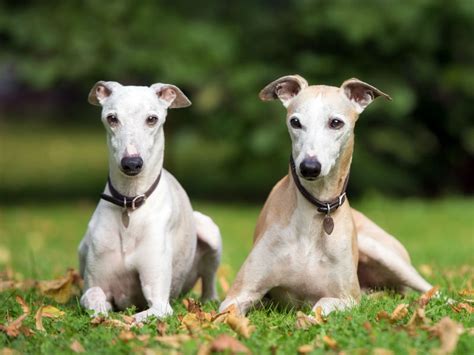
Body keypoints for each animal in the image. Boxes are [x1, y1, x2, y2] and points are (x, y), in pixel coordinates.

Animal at [79, 80, 222, 322]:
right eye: (112, 118)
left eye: (152, 119)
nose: (132, 163)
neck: (130, 202)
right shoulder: (95, 284)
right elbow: (94, 296)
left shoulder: (160, 304)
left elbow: (137, 317)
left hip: (209, 231)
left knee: (210, 277)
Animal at [219, 75, 434, 318]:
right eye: (295, 122)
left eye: (336, 123)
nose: (309, 167)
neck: (316, 209)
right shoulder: (239, 294)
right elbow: (229, 314)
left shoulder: (347, 298)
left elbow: (320, 306)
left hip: (384, 253)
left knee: (430, 289)